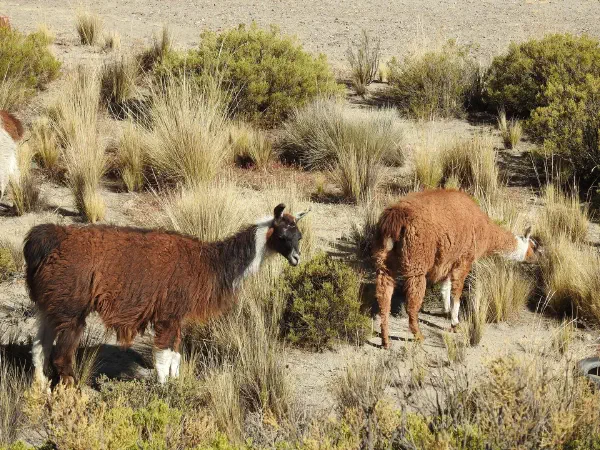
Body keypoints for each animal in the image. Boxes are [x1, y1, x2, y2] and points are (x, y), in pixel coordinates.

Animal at [24, 204, 310, 386]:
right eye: (283, 235)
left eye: (299, 236)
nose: (296, 258)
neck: (209, 263)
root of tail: (49, 238)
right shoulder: (167, 312)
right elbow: (162, 356)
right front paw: (163, 390)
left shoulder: (177, 315)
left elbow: (175, 354)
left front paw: (175, 381)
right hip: (71, 306)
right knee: (61, 355)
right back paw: (72, 391)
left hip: (50, 304)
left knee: (39, 347)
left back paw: (39, 388)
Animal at [373, 189, 537, 348]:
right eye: (534, 247)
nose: (536, 259)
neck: (484, 229)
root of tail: (395, 217)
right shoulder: (464, 259)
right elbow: (456, 292)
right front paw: (455, 323)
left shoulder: (448, 260)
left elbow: (445, 287)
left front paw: (446, 311)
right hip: (417, 259)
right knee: (411, 304)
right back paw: (418, 336)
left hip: (385, 260)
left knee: (383, 298)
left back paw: (386, 341)